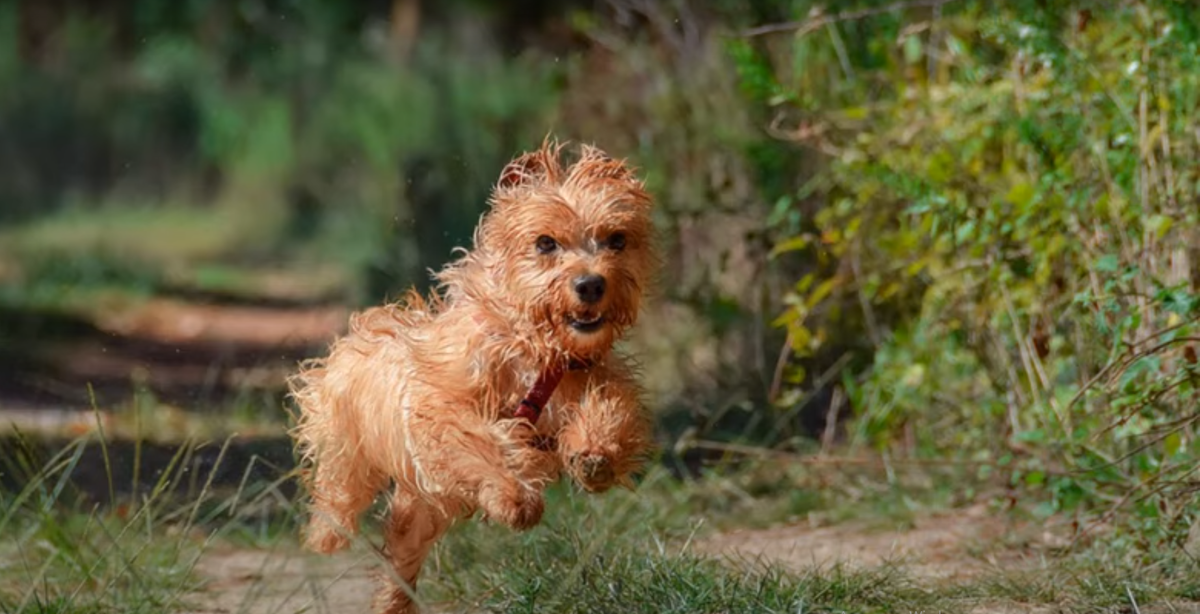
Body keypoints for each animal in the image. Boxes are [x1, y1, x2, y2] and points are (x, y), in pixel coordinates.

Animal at [289, 140, 657, 614]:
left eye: (617, 239)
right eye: (545, 243)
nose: (591, 284)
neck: (535, 350)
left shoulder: (590, 378)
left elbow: (610, 406)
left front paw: (595, 454)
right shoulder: (445, 408)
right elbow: (483, 444)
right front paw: (515, 499)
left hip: (420, 510)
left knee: (401, 558)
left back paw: (392, 601)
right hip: (347, 450)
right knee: (338, 491)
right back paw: (325, 538)